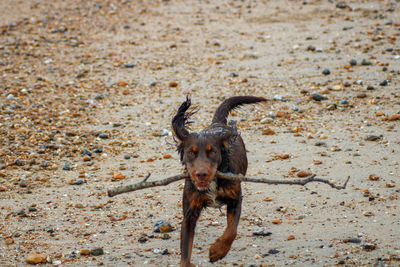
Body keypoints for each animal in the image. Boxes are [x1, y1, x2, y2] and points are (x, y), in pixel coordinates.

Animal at [171, 96, 266, 266]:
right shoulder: (189, 213)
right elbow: (185, 251)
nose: (201, 174)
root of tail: (217, 123)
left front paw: (217, 251)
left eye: (213, 152)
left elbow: (232, 230)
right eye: (191, 152)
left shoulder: (235, 199)